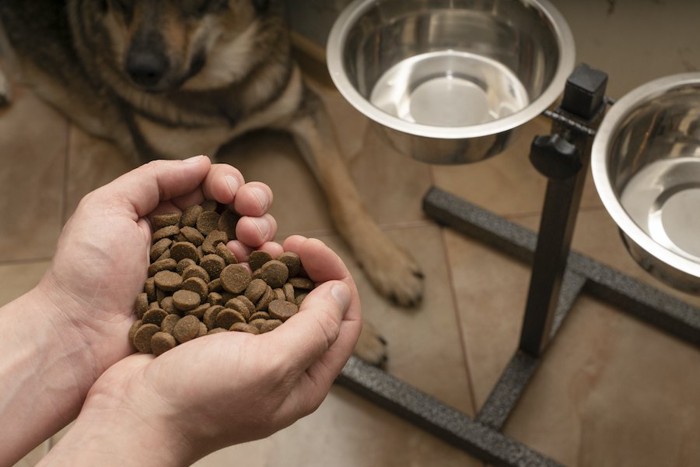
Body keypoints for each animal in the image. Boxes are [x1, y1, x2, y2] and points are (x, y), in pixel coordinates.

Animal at [0, 0, 424, 366]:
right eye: (122, 2)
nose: (140, 70)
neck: (219, 85)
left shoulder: (303, 109)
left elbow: (344, 196)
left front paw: (389, 263)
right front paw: (361, 335)